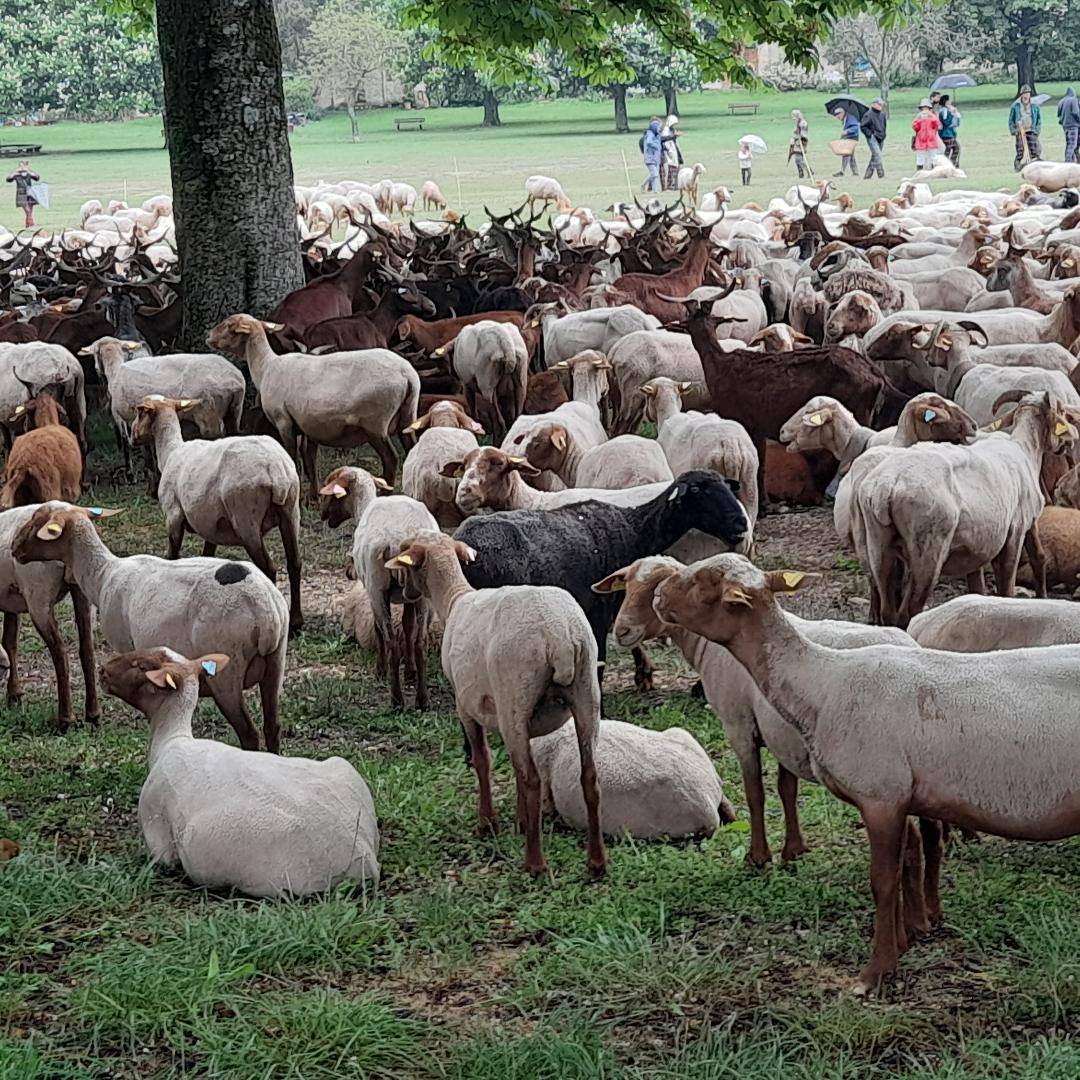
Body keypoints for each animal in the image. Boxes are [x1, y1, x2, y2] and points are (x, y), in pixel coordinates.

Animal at [105, 643, 375, 898]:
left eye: (141, 665)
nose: (102, 671)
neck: (171, 738)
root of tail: (364, 855)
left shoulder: (155, 825)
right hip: (342, 768)